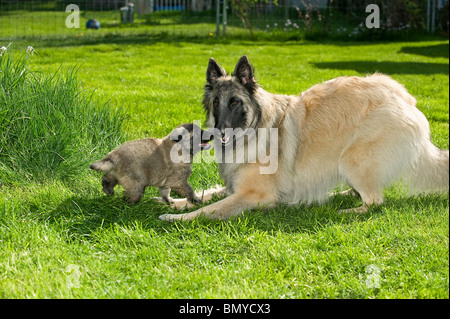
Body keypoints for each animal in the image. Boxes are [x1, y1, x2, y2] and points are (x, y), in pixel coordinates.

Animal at [158, 55, 446, 222]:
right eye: (216, 103)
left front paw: (177, 217)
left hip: (352, 158)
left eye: (235, 102)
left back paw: (343, 208)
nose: (218, 132)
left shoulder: (253, 194)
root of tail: (404, 97)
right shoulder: (236, 185)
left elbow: (210, 209)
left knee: (375, 202)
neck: (255, 128)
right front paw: (179, 203)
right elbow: (209, 193)